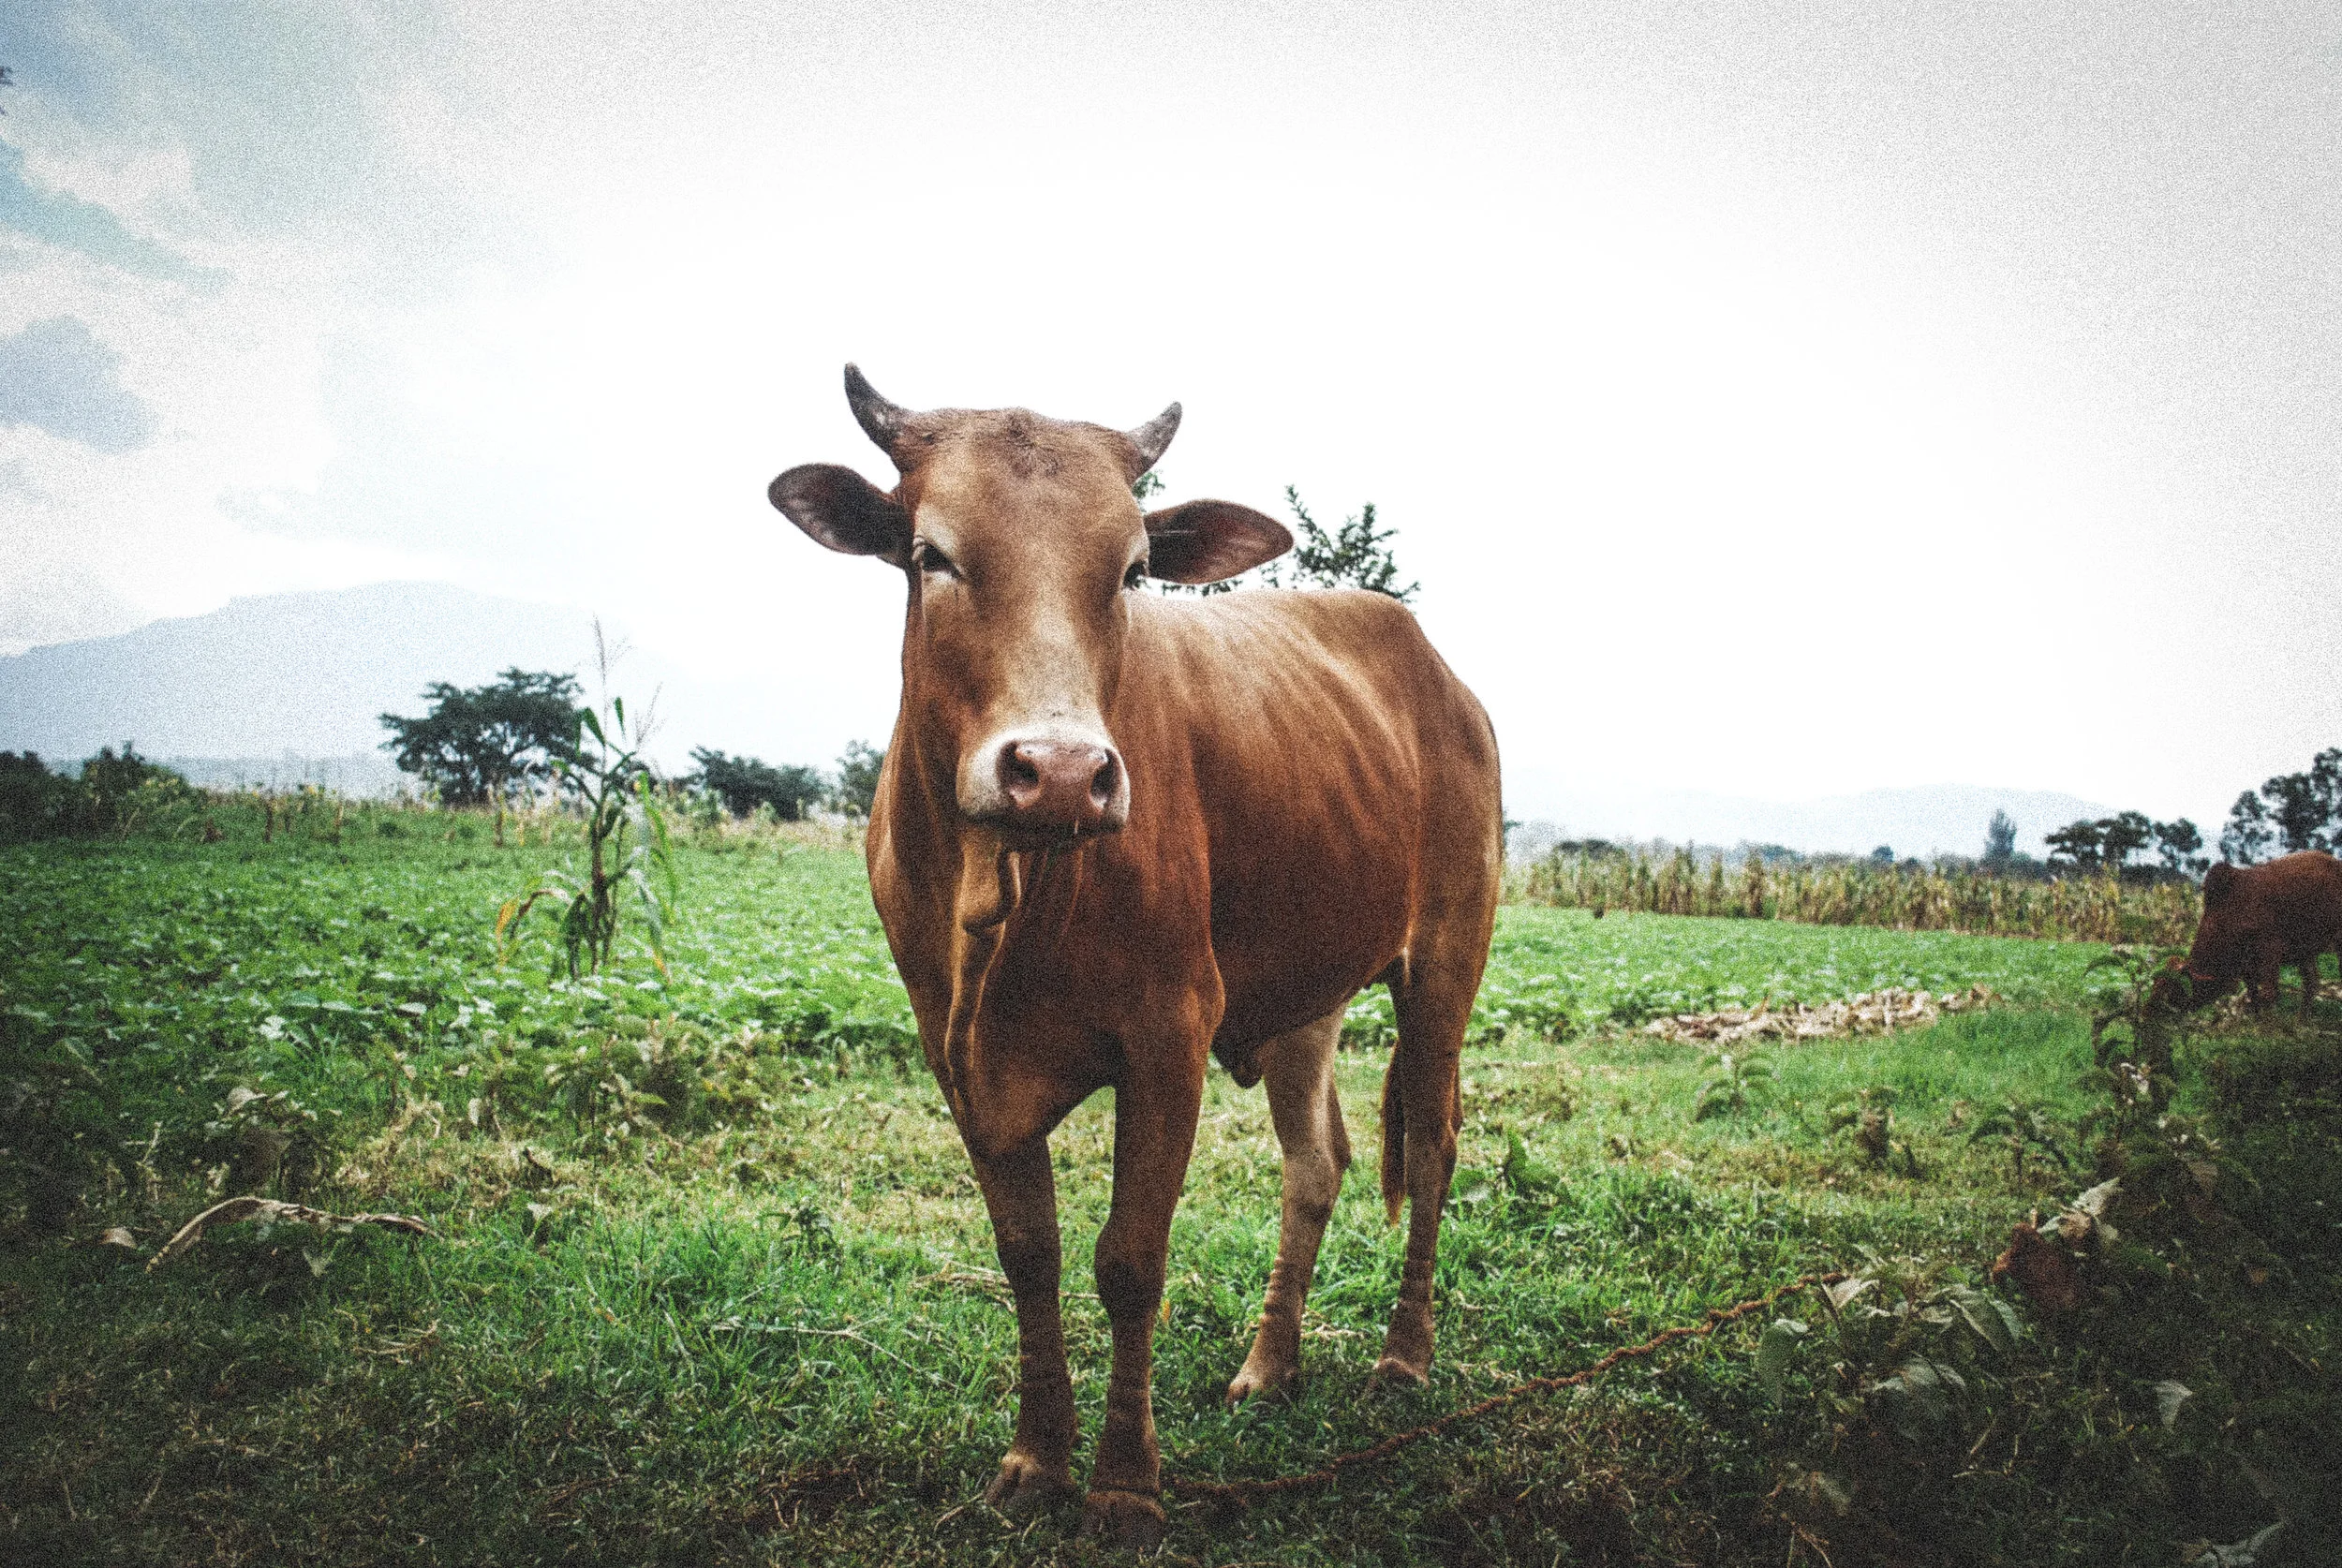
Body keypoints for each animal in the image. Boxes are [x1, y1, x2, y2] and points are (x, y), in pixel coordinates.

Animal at [767, 368, 1502, 1546]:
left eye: (1132, 570)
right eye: (931, 553)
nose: (1062, 772)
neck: (1012, 891)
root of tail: (1441, 678)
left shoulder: (1168, 1036)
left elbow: (1128, 1259)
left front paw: (1121, 1483)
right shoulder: (955, 1056)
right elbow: (1029, 1254)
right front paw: (1035, 1459)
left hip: (1444, 962)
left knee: (1429, 1147)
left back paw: (1402, 1357)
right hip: (1304, 997)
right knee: (1315, 1164)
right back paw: (1269, 1366)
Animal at [2152, 851, 2342, 1017]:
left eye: (2170, 987)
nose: (2149, 1013)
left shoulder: (2269, 953)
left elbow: (2269, 995)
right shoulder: (2247, 967)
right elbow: (2254, 997)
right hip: (2306, 952)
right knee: (2312, 983)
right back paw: (2301, 1020)